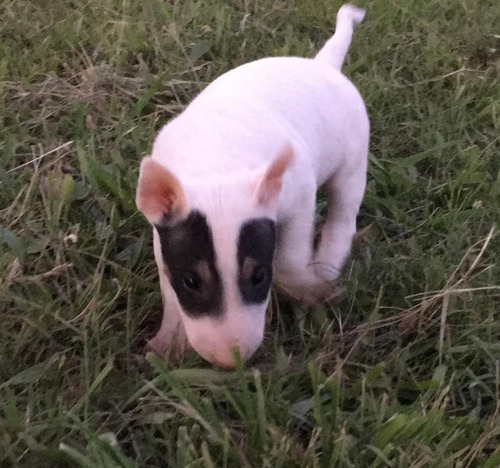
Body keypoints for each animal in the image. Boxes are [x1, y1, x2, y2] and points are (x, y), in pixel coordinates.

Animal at [136, 3, 368, 370]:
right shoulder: (162, 232)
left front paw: (309, 290)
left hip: (353, 163)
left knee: (343, 216)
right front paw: (169, 340)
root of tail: (323, 65)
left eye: (258, 276)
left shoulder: (298, 199)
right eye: (191, 280)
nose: (231, 362)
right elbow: (166, 278)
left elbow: (289, 257)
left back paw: (325, 266)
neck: (216, 163)